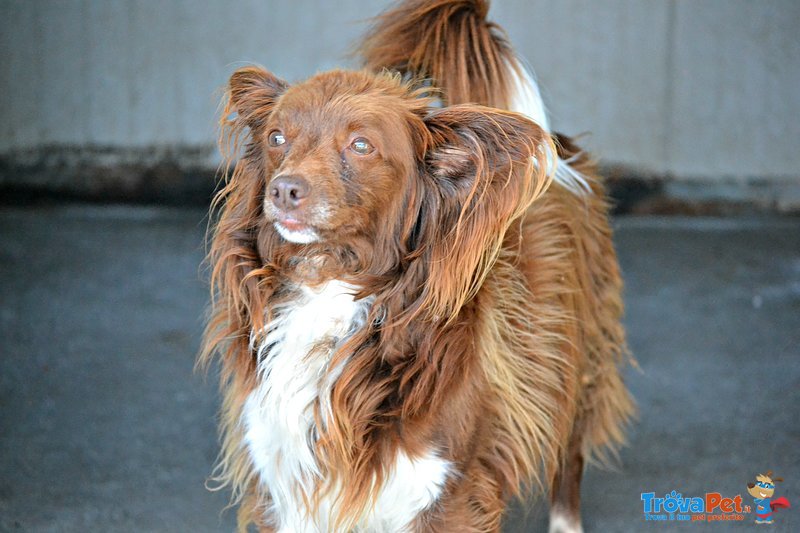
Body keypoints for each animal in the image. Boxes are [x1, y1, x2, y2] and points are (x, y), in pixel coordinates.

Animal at [202, 1, 636, 532]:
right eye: (276, 138)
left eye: (361, 146)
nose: (283, 189)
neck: (328, 291)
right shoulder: (279, 470)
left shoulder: (449, 486)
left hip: (577, 358)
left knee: (569, 452)